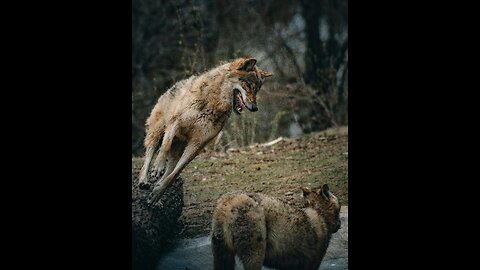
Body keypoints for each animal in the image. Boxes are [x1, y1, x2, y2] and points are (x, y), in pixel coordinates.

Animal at [140, 58, 274, 202]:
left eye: (257, 90)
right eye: (248, 85)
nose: (255, 108)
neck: (212, 103)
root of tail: (171, 87)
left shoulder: (198, 145)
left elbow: (174, 174)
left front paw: (158, 192)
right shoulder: (175, 123)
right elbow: (165, 146)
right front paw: (158, 167)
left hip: (177, 152)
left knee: (170, 169)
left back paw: (157, 185)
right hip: (156, 133)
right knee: (149, 156)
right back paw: (143, 180)